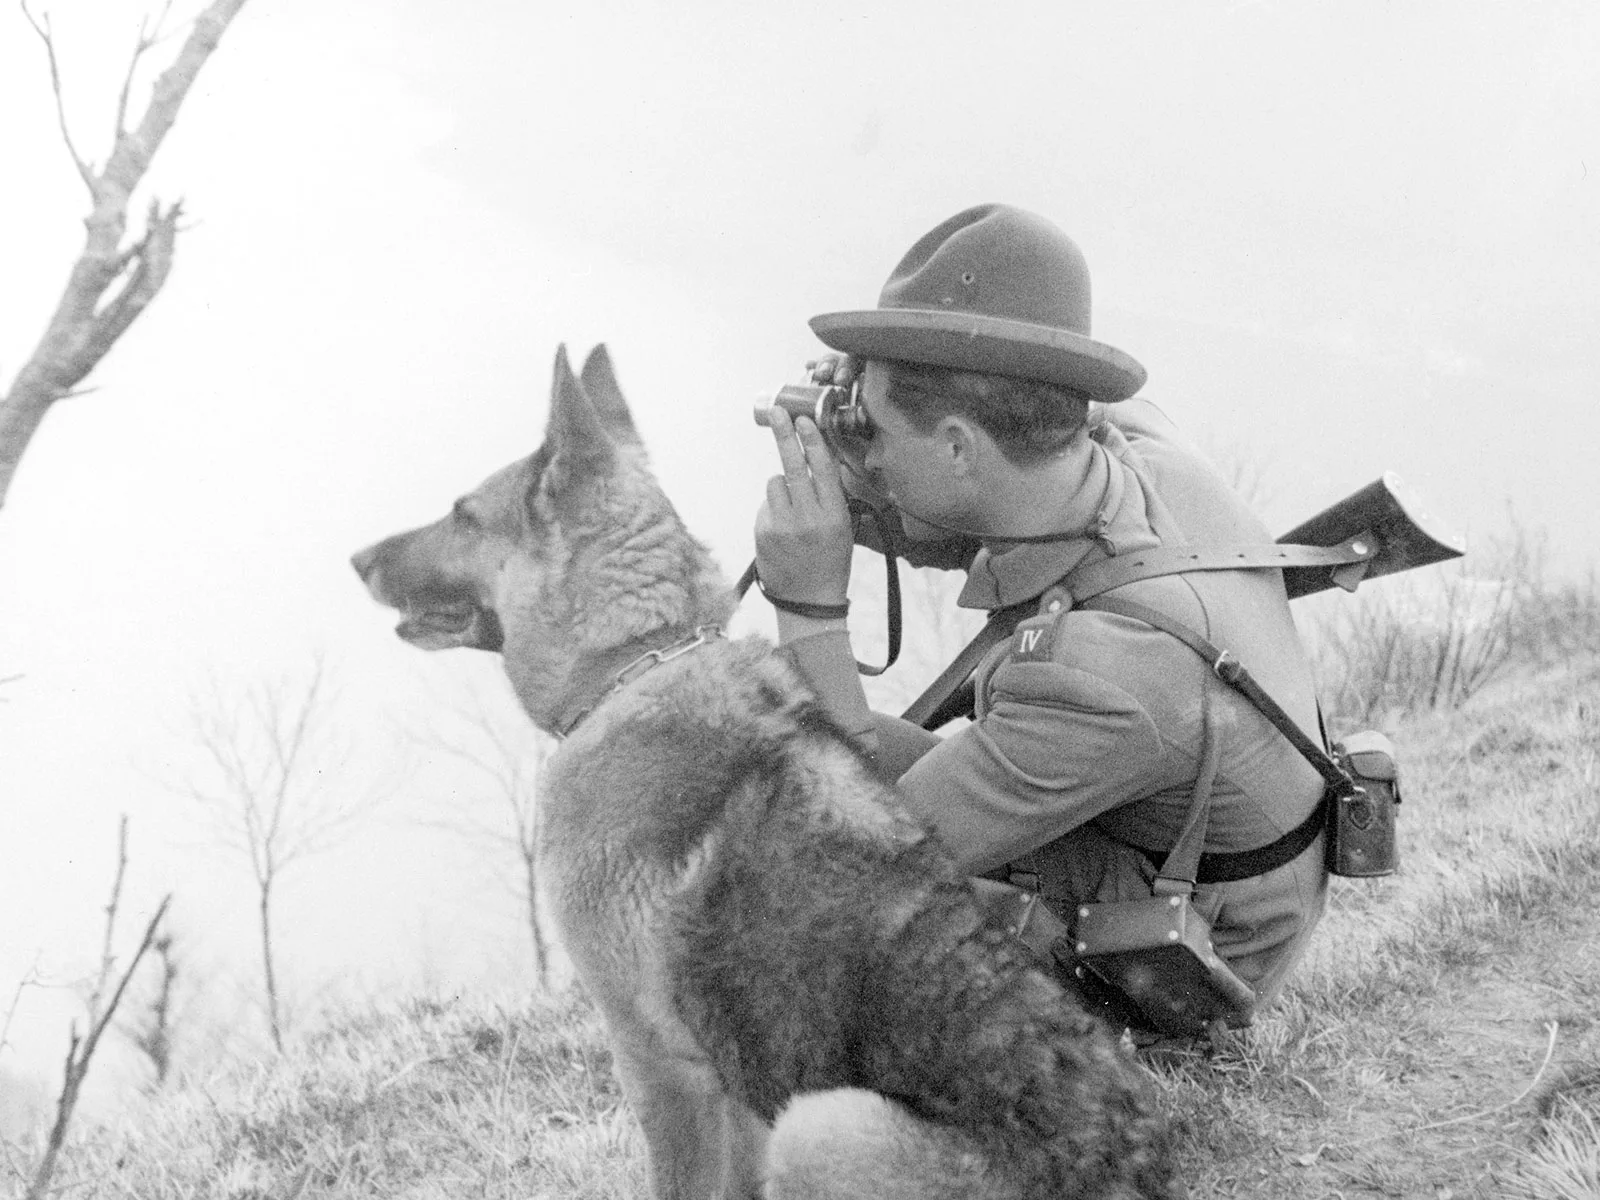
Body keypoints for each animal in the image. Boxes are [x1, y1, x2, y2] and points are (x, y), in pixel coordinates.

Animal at [353, 347, 1177, 1200]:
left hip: (819, 1122)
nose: (356, 559)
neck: (645, 658)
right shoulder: (732, 1089)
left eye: (462, 514)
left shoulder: (660, 1068)